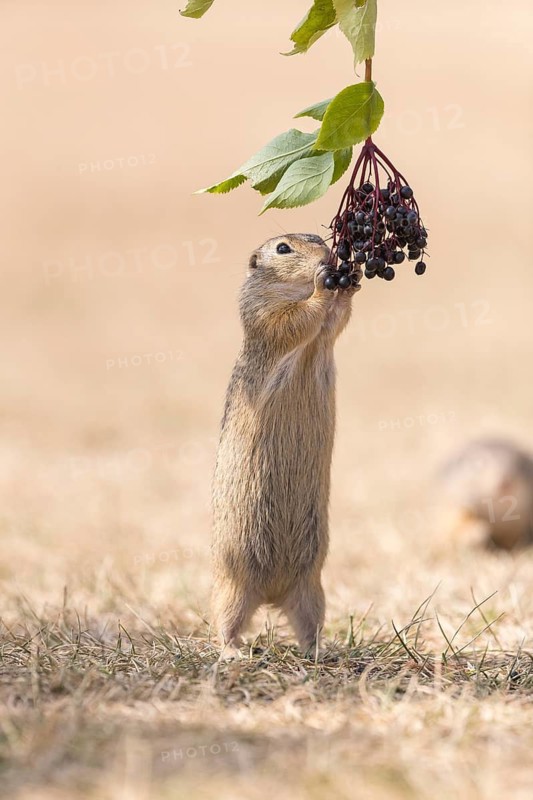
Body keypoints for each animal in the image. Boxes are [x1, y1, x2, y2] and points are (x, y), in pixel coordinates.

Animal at [212, 233, 359, 656]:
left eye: (319, 237)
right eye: (283, 248)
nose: (330, 254)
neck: (295, 287)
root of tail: (271, 593)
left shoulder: (324, 335)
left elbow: (334, 321)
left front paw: (350, 282)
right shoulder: (263, 313)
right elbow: (295, 320)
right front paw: (326, 284)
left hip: (311, 591)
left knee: (308, 624)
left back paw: (317, 652)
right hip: (232, 585)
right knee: (223, 621)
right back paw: (232, 652)